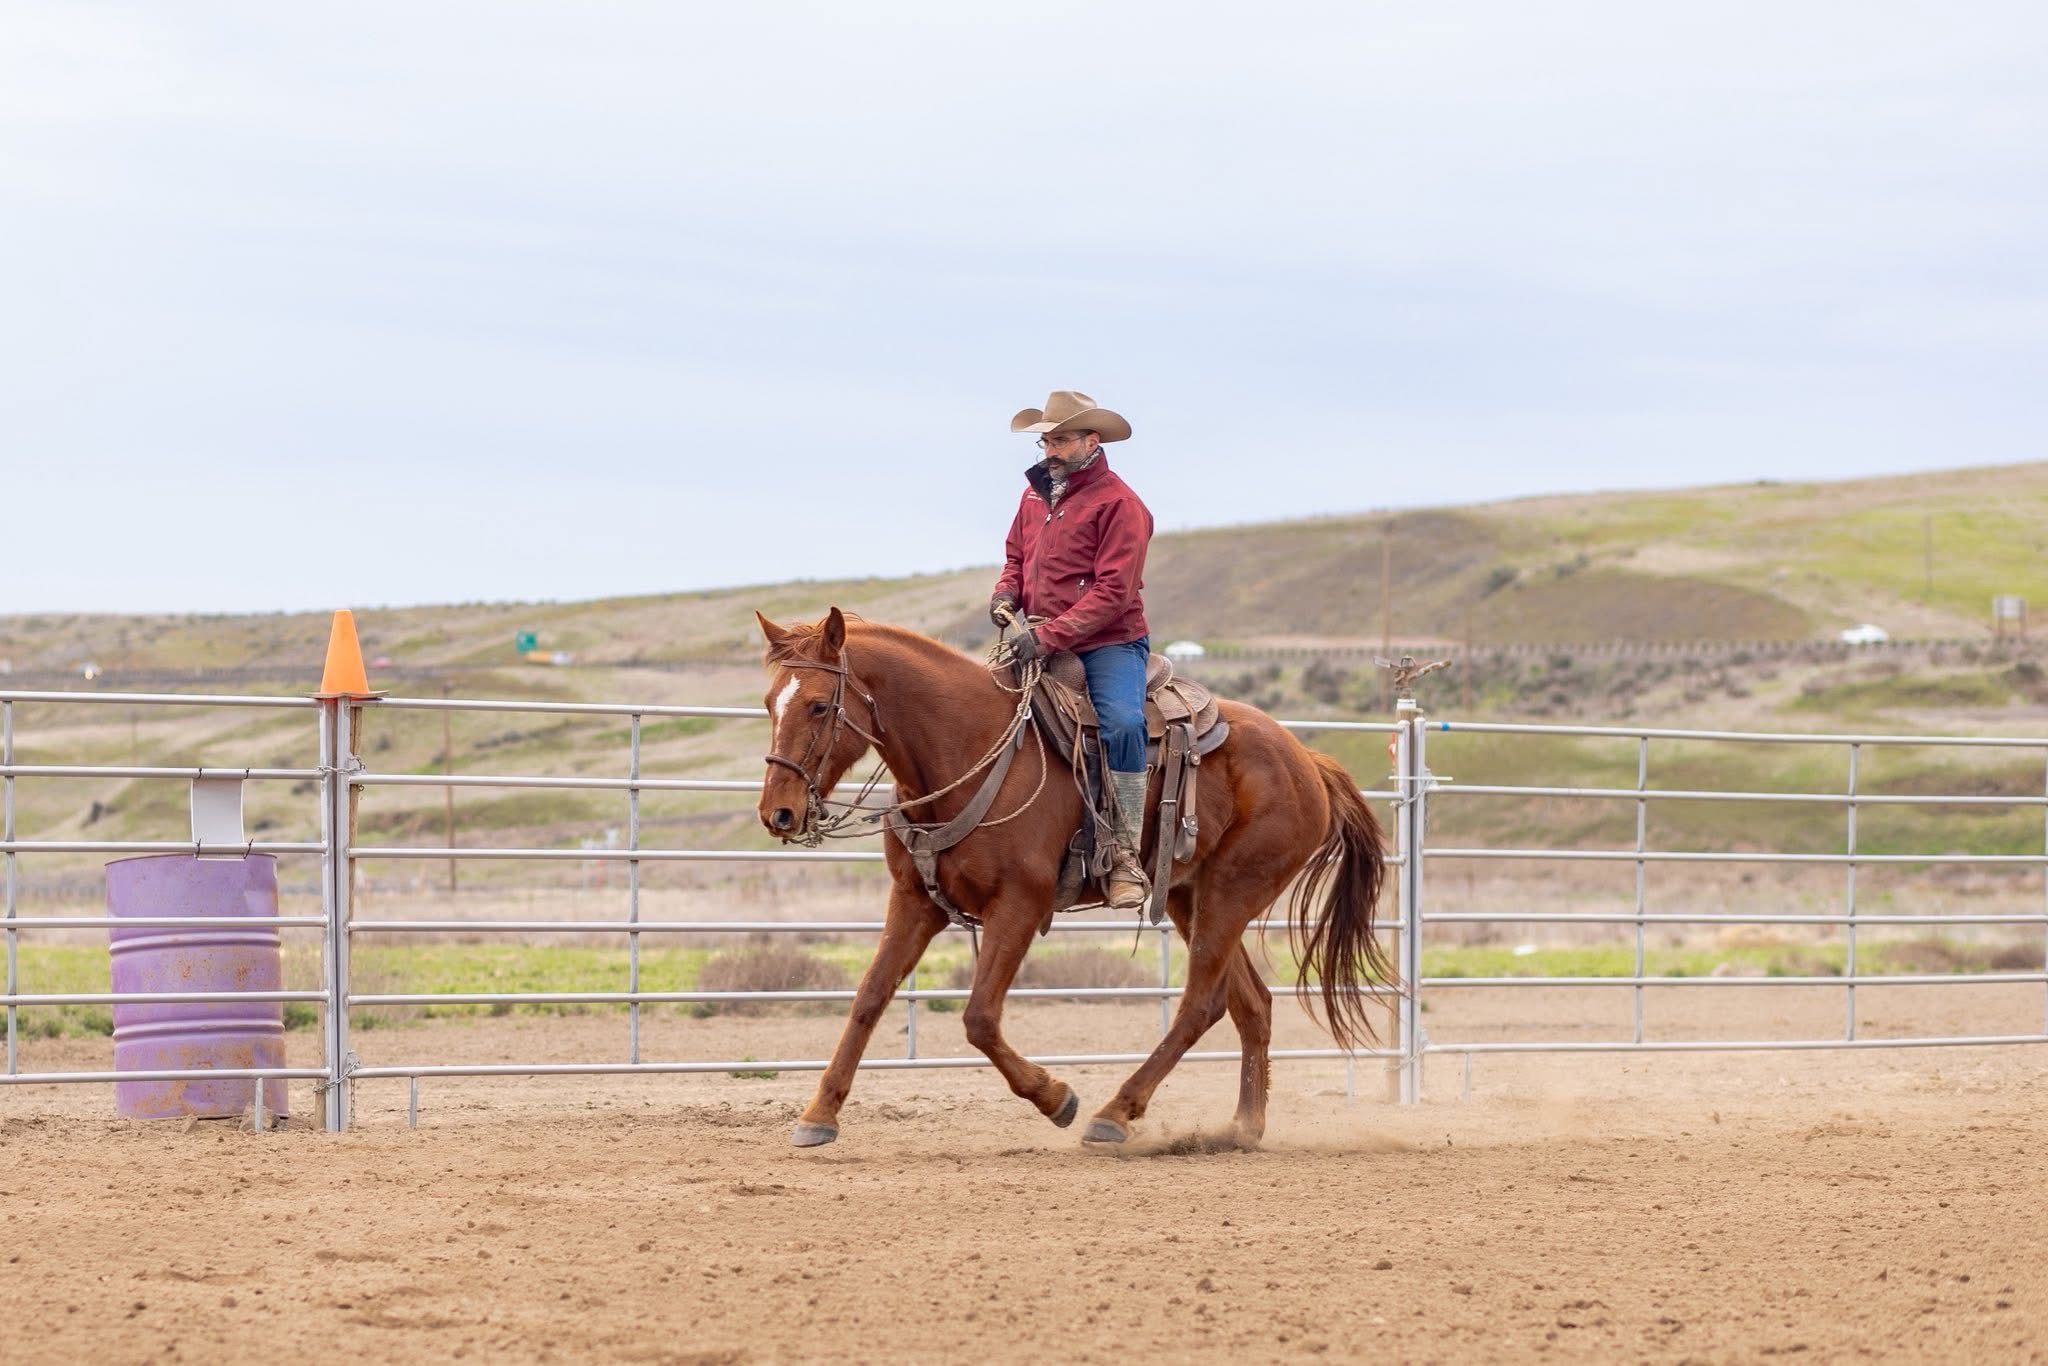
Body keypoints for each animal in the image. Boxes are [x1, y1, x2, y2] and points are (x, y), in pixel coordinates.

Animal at [754, 607, 1393, 1148]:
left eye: (818, 706)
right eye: (768, 704)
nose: (778, 813)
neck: (969, 749)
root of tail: (1308, 760)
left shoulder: (1019, 905)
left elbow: (979, 1018)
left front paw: (1055, 1096)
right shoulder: (915, 902)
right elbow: (868, 998)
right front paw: (819, 1115)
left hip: (1232, 894)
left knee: (1200, 1004)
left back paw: (1115, 1113)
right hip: (1191, 897)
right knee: (1249, 1004)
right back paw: (1241, 1128)